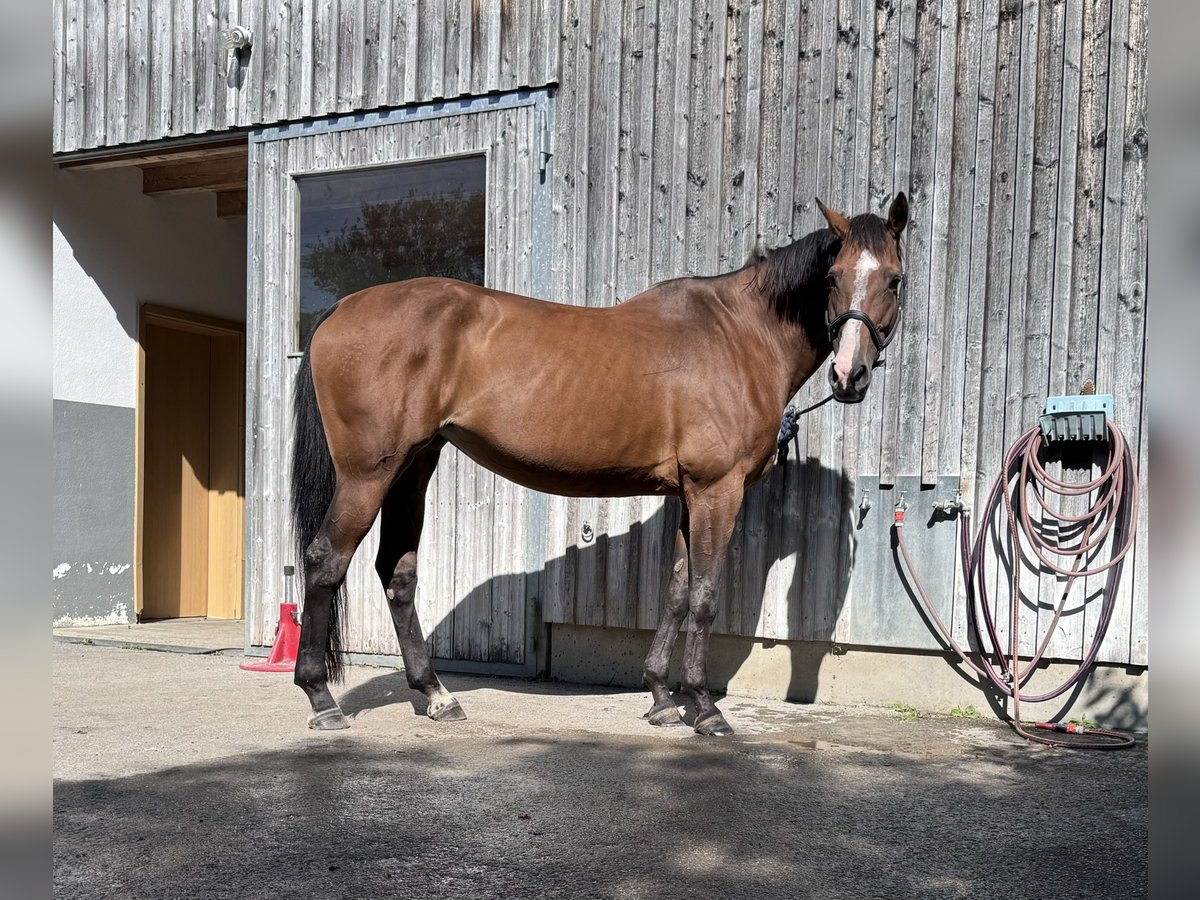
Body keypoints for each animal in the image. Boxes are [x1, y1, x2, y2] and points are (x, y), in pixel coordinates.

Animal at [292, 194, 907, 734]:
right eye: (832, 277)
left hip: (412, 468)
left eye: (893, 279)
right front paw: (705, 708)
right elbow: (705, 596)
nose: (849, 376)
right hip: (368, 475)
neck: (738, 336)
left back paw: (437, 695)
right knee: (325, 562)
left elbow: (676, 591)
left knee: (397, 573)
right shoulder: (717, 490)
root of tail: (341, 307)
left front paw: (661, 698)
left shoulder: (688, 494)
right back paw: (321, 700)